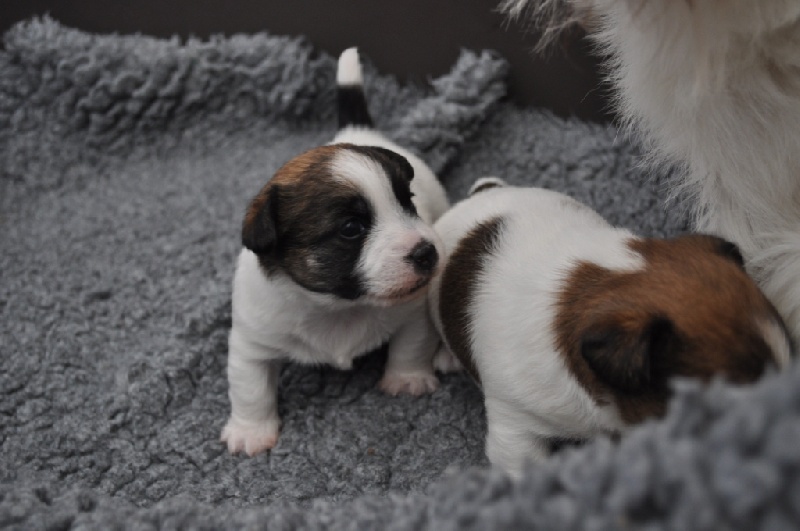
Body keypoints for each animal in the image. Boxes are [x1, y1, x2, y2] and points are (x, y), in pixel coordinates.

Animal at [222, 47, 450, 458]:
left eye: (407, 202)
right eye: (350, 229)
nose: (426, 253)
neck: (338, 306)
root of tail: (354, 131)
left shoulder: (413, 311)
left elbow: (410, 346)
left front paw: (406, 379)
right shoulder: (251, 342)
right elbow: (250, 389)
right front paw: (251, 432)